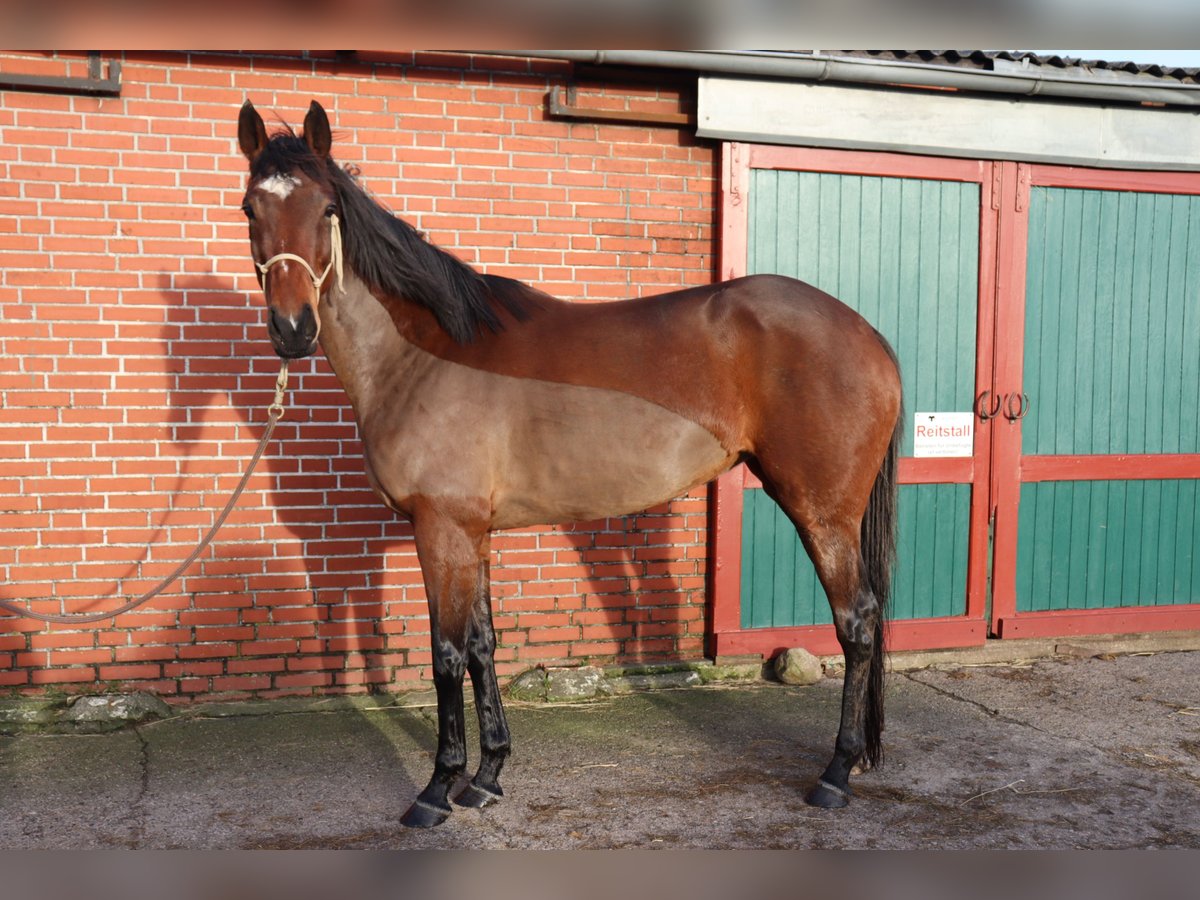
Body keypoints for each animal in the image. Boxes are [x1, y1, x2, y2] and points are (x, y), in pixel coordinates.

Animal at [234, 102, 902, 830]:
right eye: (249, 208)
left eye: (326, 207)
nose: (292, 330)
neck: (422, 354)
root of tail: (869, 335)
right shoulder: (472, 534)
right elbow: (481, 646)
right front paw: (487, 776)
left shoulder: (440, 530)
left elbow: (445, 657)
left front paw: (438, 788)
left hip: (822, 513)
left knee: (858, 624)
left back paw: (836, 772)